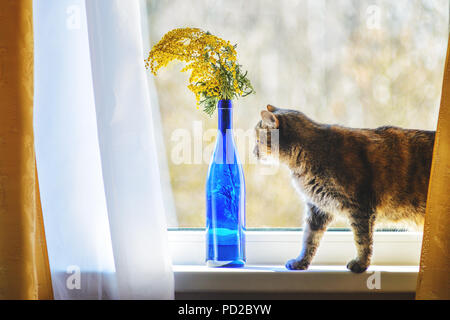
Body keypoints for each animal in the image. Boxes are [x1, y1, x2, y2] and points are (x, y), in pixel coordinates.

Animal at [255, 104, 434, 272]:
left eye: (257, 140)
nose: (253, 152)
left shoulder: (360, 207)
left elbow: (362, 240)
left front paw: (361, 263)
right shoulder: (318, 209)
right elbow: (309, 239)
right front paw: (301, 262)